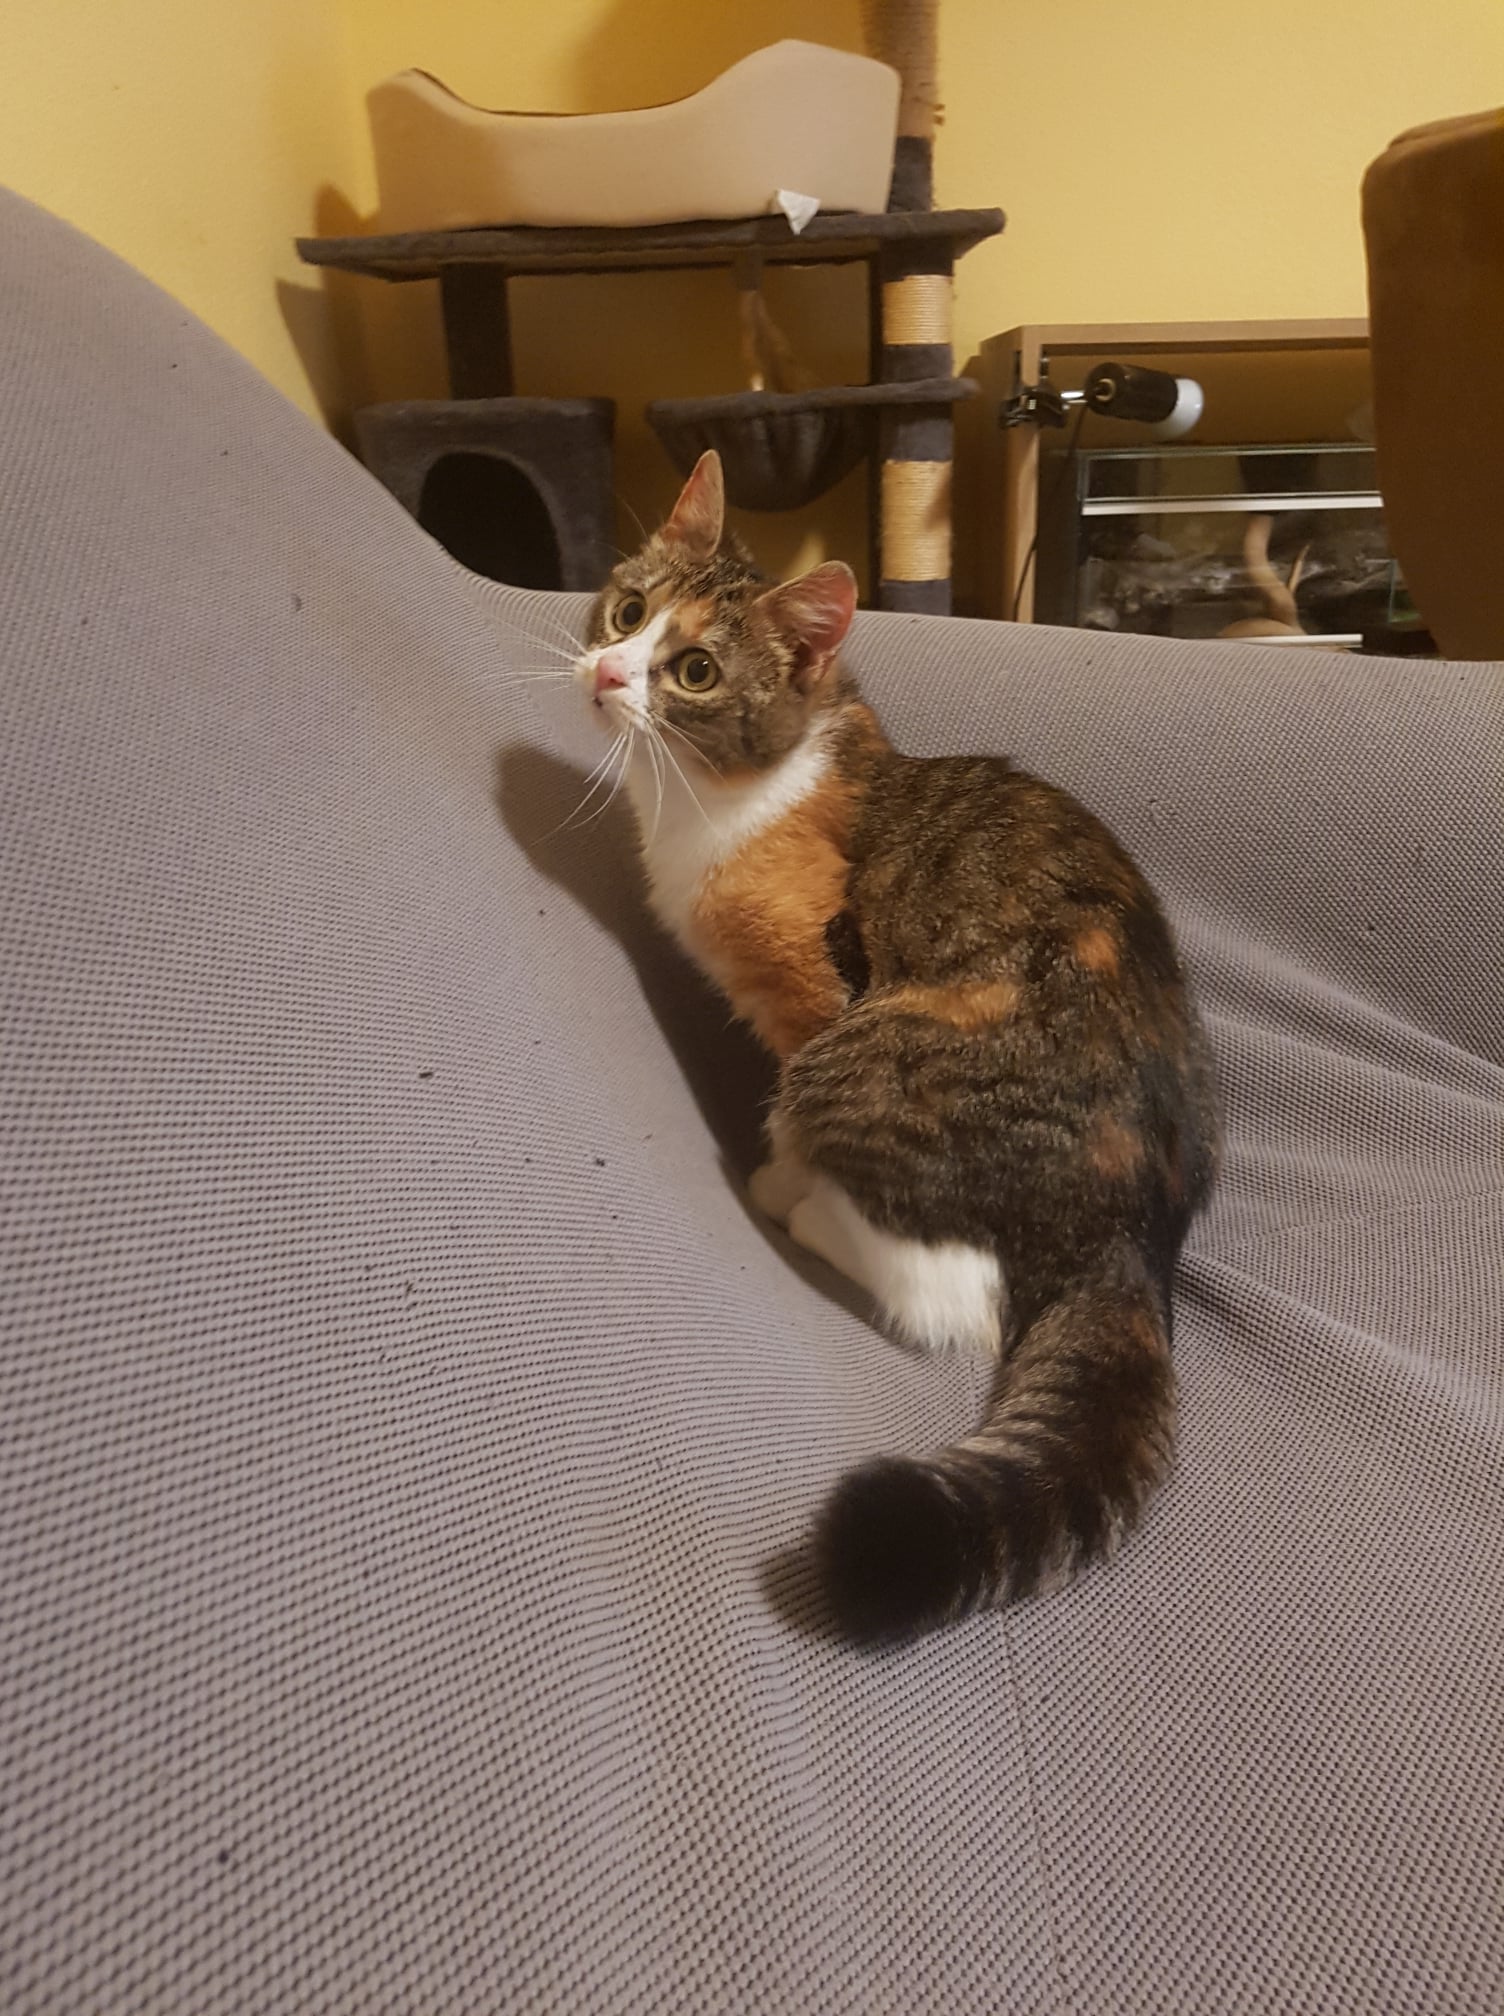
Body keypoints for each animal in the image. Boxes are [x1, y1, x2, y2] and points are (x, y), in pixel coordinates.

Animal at [573, 451, 1220, 1645]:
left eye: (692, 671)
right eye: (630, 610)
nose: (604, 671)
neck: (735, 793)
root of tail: (1138, 1233)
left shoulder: (815, 989)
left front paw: (780, 1175)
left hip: (872, 1063)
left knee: (951, 1299)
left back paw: (798, 1205)